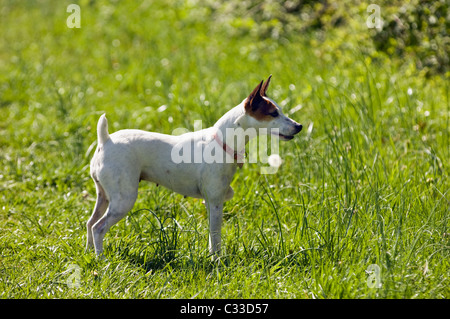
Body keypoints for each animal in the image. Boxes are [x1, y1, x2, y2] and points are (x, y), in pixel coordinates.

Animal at [86, 76, 302, 258]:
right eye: (273, 113)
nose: (299, 126)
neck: (222, 141)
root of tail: (106, 140)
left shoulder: (211, 202)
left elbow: (212, 237)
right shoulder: (215, 201)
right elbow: (215, 235)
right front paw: (217, 261)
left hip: (104, 196)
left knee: (90, 223)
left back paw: (89, 254)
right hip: (124, 200)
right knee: (98, 227)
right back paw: (101, 259)